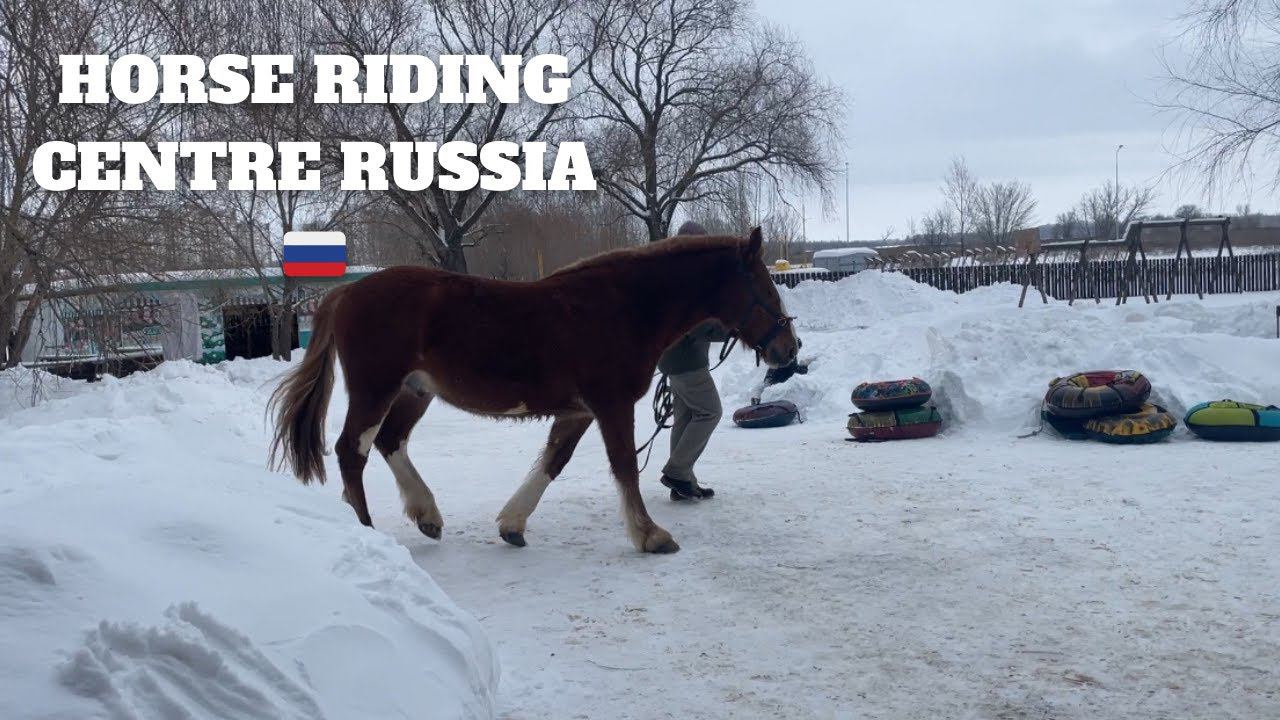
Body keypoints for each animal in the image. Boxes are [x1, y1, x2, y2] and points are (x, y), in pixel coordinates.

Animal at [268, 228, 797, 553]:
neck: (623, 307)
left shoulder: (578, 411)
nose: (788, 349)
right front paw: (650, 535)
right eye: (767, 288)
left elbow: (553, 462)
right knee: (351, 449)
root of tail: (344, 293)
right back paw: (369, 530)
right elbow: (625, 467)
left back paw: (427, 514)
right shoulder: (612, 405)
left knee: (388, 441)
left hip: (414, 392)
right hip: (376, 388)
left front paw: (512, 525)